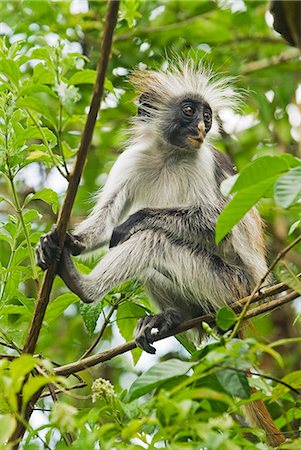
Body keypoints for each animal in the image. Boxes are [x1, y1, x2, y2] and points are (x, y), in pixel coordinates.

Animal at [35, 60, 284, 446]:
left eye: (207, 116)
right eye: (189, 111)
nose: (202, 127)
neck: (171, 153)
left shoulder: (203, 162)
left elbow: (216, 226)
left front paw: (135, 220)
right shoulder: (133, 159)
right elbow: (105, 221)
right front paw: (60, 241)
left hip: (230, 286)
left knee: (153, 239)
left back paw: (84, 286)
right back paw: (172, 316)